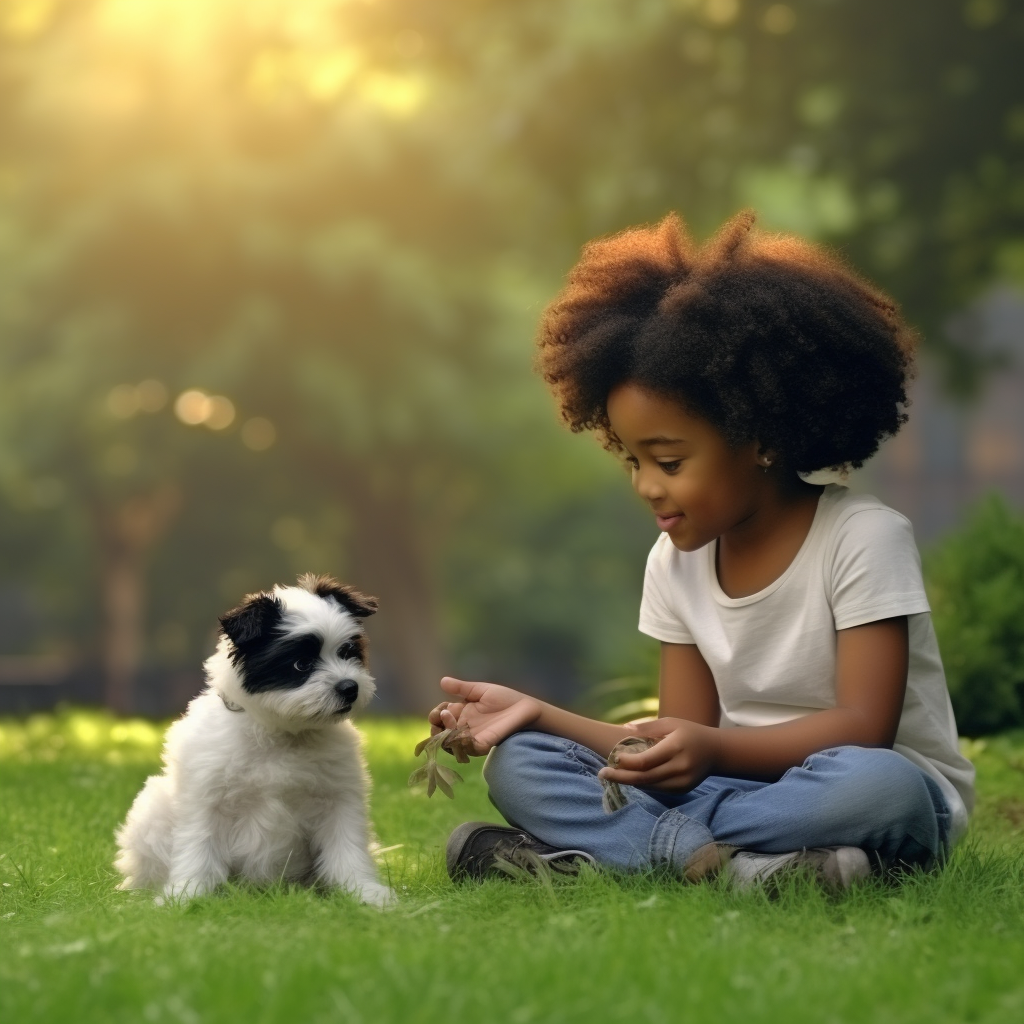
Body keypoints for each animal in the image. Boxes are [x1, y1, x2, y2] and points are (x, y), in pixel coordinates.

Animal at [115, 573, 395, 909]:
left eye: (347, 652)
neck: (281, 733)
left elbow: (347, 848)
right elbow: (198, 847)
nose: (350, 688)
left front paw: (363, 892)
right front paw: (186, 896)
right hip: (152, 811)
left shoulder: (339, 799)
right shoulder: (205, 798)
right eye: (301, 664)